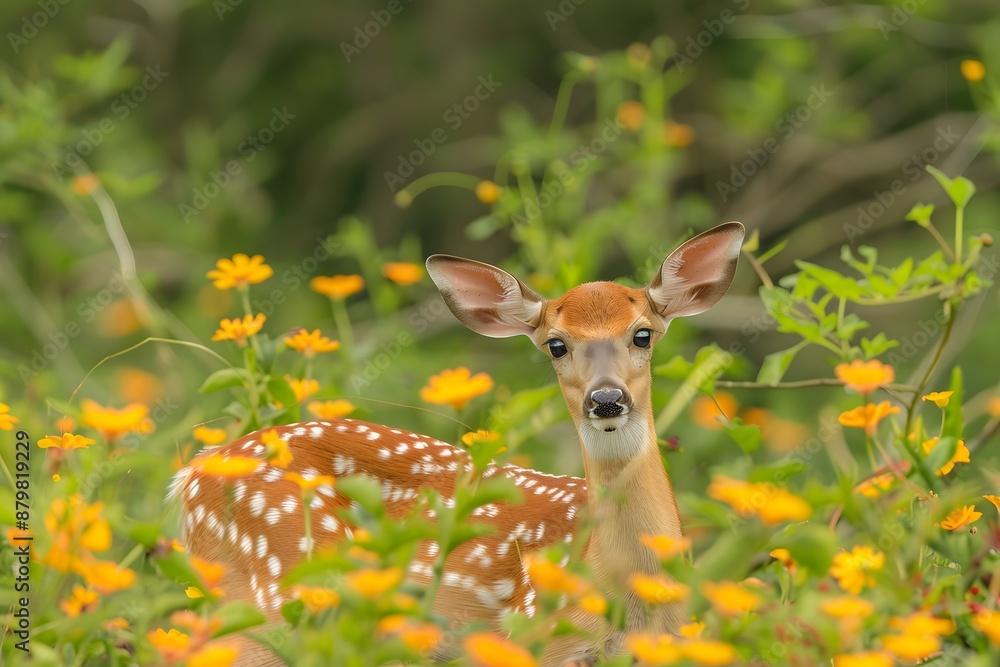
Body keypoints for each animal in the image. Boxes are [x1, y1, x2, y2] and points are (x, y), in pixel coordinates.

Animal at [169, 222, 745, 666]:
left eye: (643, 334)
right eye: (556, 345)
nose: (606, 399)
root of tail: (194, 472)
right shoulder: (535, 637)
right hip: (271, 588)